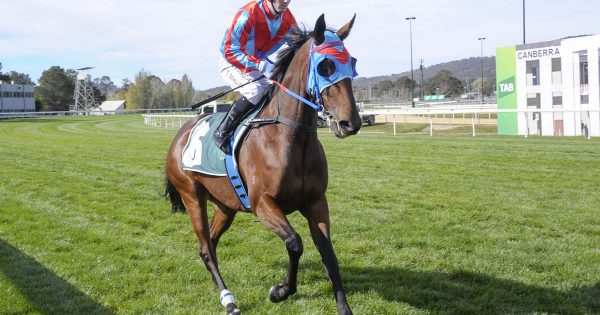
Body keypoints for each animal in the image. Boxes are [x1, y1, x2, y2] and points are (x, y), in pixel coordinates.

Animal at [164, 14, 360, 315]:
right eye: (325, 66)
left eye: (352, 63)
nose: (351, 123)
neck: (289, 136)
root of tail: (180, 134)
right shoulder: (262, 203)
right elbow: (295, 243)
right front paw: (280, 291)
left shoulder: (316, 201)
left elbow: (328, 253)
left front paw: (343, 308)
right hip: (192, 195)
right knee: (206, 247)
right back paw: (229, 300)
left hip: (225, 205)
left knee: (209, 244)